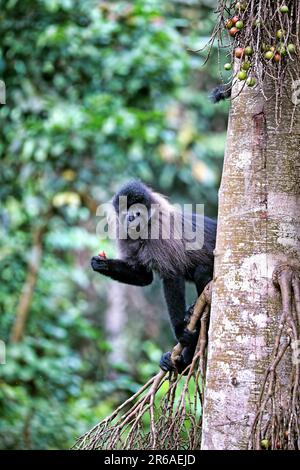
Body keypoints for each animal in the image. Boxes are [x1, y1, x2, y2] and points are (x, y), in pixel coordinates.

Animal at [90, 181, 217, 374]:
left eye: (138, 208)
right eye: (126, 208)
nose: (132, 216)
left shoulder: (160, 230)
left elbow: (172, 275)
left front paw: (179, 330)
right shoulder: (123, 232)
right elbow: (145, 277)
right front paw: (102, 264)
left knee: (201, 273)